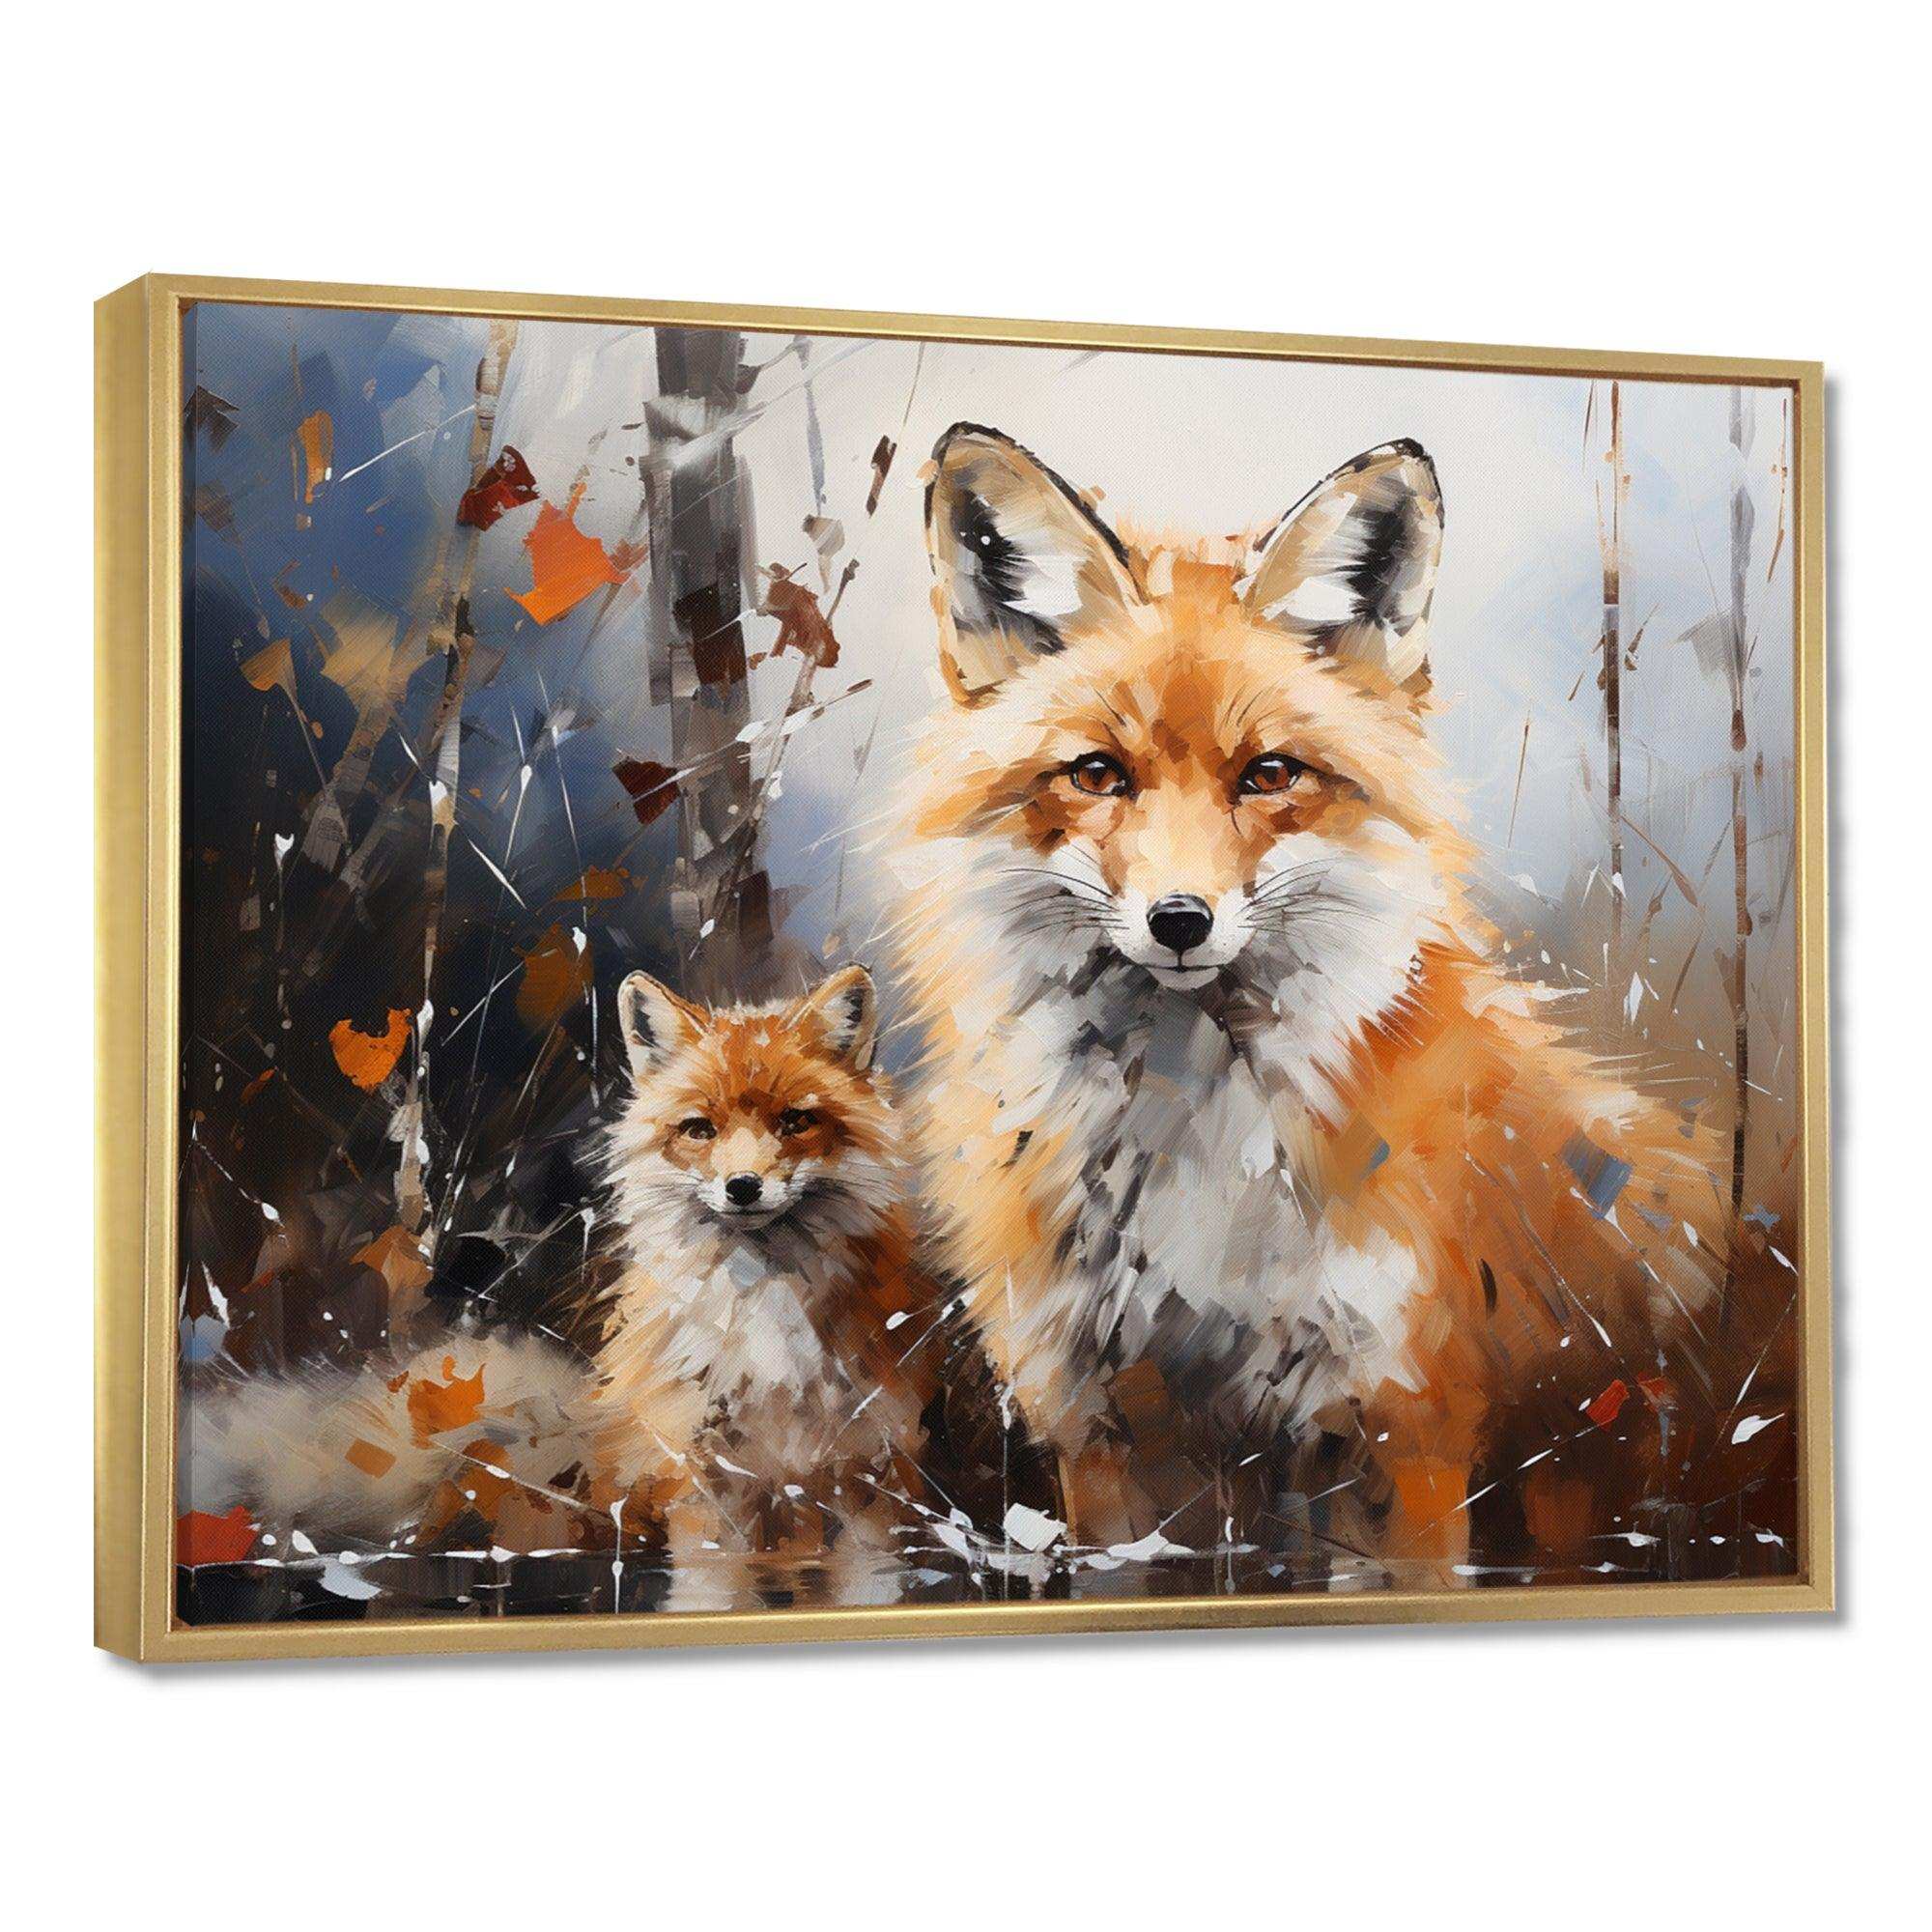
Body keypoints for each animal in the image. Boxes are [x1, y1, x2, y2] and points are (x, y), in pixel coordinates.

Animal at [186, 966, 968, 1608]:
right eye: (699, 1129)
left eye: (796, 1121)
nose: (743, 1186)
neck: (764, 1316)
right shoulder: (698, 1472)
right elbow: (712, 1583)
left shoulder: (867, 1472)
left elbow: (869, 1578)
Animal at [889, 421, 1730, 1578]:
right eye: (1098, 774)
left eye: (1269, 774)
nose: (1180, 920)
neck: (1188, 1147)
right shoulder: (1100, 1426)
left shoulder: (1402, 1420)